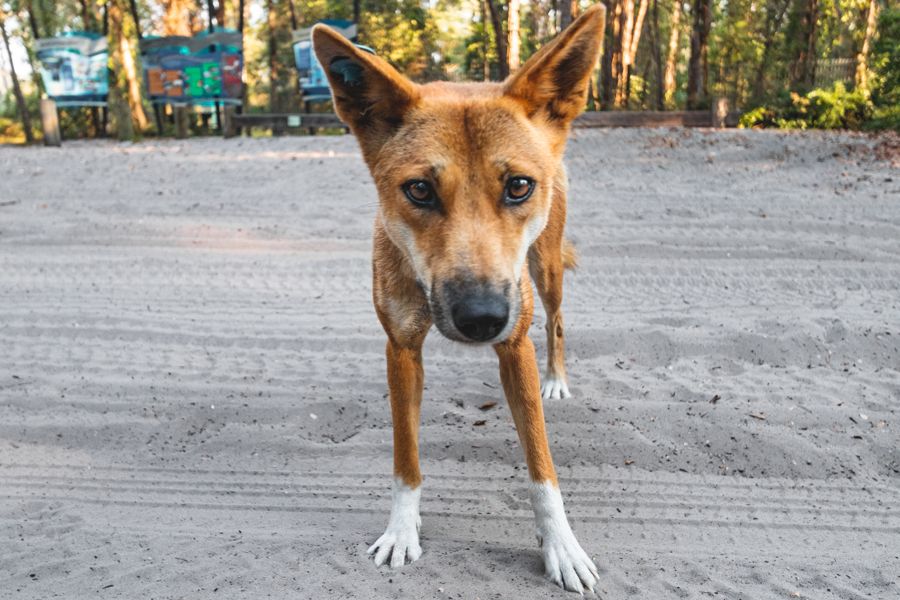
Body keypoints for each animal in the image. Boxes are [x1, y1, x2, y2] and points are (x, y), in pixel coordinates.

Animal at [314, 7, 604, 592]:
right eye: (420, 190)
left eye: (518, 186)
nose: (481, 319)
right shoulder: (401, 348)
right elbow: (406, 458)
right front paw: (402, 531)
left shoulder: (515, 345)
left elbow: (541, 465)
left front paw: (561, 546)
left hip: (546, 271)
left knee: (557, 322)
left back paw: (557, 379)